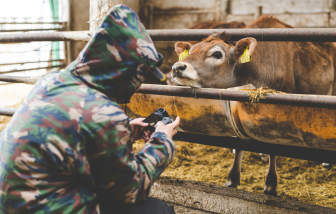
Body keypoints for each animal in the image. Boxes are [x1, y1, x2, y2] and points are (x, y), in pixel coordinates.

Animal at [171, 15, 336, 196]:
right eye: (191, 51)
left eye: (217, 54)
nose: (177, 67)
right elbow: (238, 144)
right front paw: (232, 180)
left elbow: (272, 148)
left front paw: (270, 185)